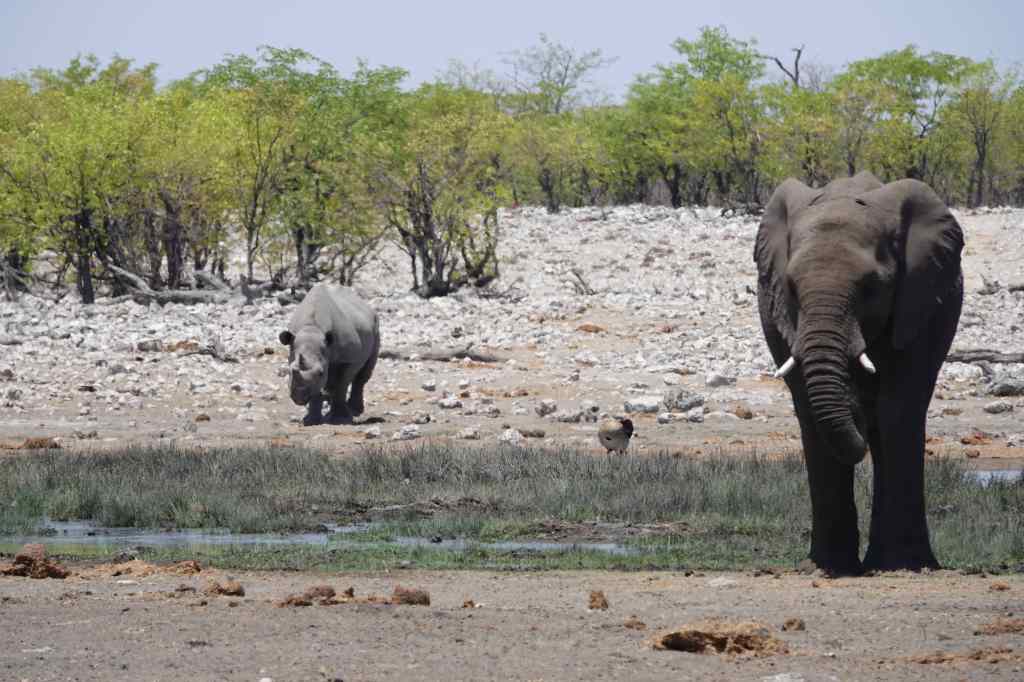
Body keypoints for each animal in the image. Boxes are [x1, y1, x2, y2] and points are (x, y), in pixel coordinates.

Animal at [279, 284, 380, 426]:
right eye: (289, 371)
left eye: (321, 373)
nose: (299, 396)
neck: (312, 328)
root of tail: (365, 305)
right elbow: (317, 389)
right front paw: (311, 421)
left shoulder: (349, 359)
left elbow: (341, 384)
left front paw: (340, 419)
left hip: (376, 326)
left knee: (362, 374)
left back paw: (354, 411)